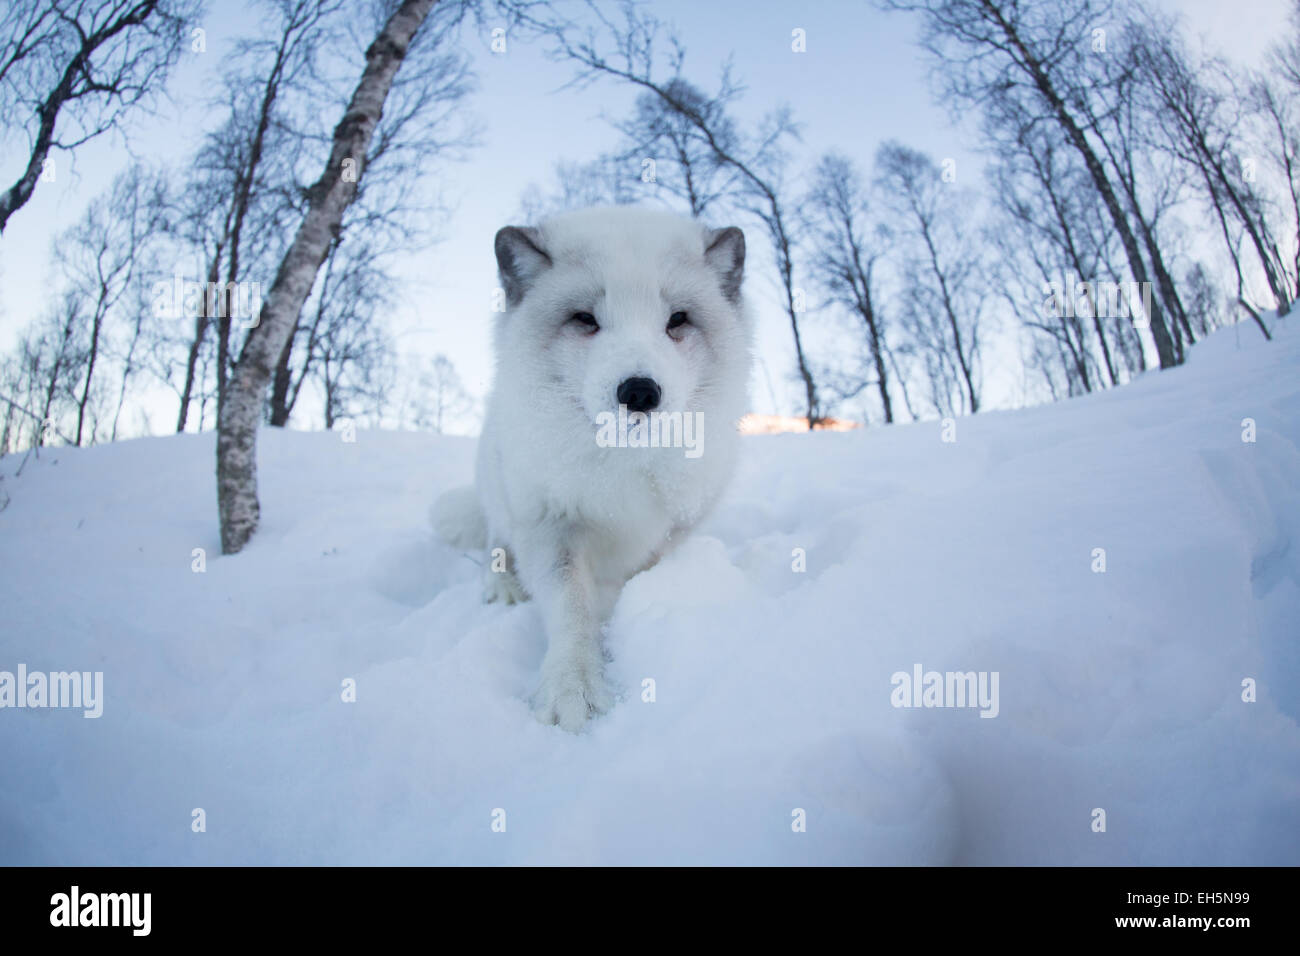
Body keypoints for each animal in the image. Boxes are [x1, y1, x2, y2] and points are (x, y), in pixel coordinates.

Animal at [434, 208, 754, 733]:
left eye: (678, 320)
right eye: (585, 318)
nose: (640, 391)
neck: (623, 464)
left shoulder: (673, 530)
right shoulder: (549, 526)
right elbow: (571, 607)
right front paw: (573, 683)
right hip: (500, 489)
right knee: (495, 540)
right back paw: (502, 584)